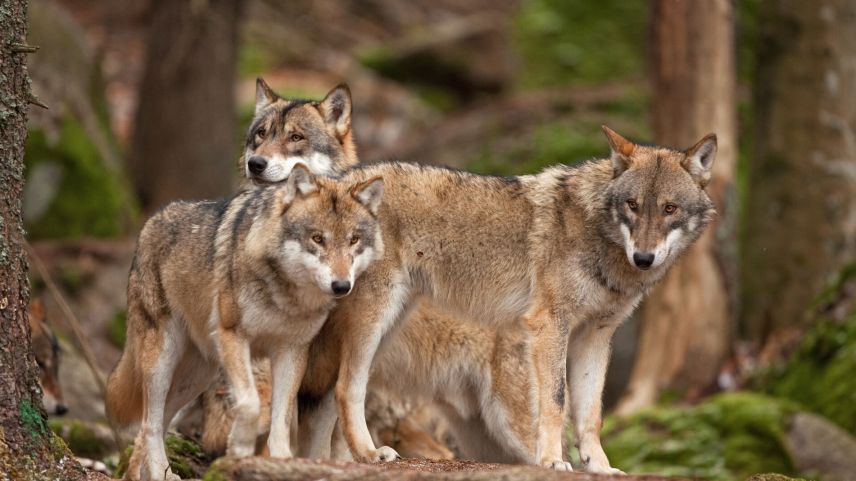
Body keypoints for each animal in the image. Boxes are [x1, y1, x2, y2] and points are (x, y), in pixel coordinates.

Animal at [105, 165, 385, 480]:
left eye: (353, 240)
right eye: (317, 238)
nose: (342, 286)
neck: (286, 296)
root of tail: (151, 220)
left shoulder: (292, 351)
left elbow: (281, 419)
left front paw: (282, 461)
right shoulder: (234, 337)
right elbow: (250, 404)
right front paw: (238, 447)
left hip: (197, 377)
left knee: (153, 423)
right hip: (162, 363)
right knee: (150, 422)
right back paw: (158, 473)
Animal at [305, 126, 717, 472]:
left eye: (669, 208)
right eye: (632, 204)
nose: (644, 258)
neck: (599, 237)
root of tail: (334, 181)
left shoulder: (596, 336)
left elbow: (590, 415)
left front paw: (600, 467)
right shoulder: (550, 324)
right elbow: (555, 402)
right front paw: (552, 461)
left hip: (391, 330)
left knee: (329, 396)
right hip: (375, 322)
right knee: (346, 388)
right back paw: (367, 453)